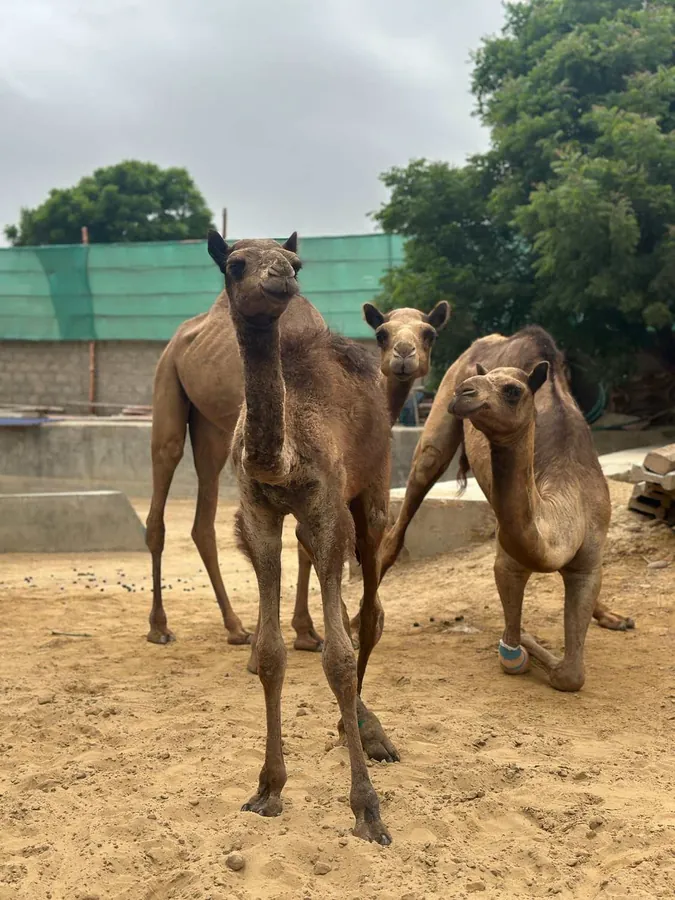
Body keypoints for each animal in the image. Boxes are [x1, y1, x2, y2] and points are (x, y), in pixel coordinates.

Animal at [145, 250, 448, 652]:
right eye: (382, 334)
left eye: (429, 334)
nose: (403, 355)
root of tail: (181, 337)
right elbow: (302, 546)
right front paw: (309, 632)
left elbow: (306, 545)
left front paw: (309, 629)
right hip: (167, 381)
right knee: (162, 479)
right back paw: (160, 627)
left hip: (212, 430)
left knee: (202, 521)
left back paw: (235, 627)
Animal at [208, 230, 396, 843]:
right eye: (235, 262)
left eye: (295, 260)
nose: (279, 278)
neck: (282, 460)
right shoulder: (259, 514)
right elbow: (270, 653)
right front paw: (268, 789)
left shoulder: (327, 507)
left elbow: (338, 656)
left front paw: (368, 809)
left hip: (372, 491)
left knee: (369, 612)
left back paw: (365, 728)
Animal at [380, 326, 634, 692]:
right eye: (475, 383)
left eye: (513, 390)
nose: (464, 391)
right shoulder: (509, 560)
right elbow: (520, 649)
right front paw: (520, 639)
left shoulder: (589, 560)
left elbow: (571, 674)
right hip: (436, 431)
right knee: (406, 508)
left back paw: (613, 617)